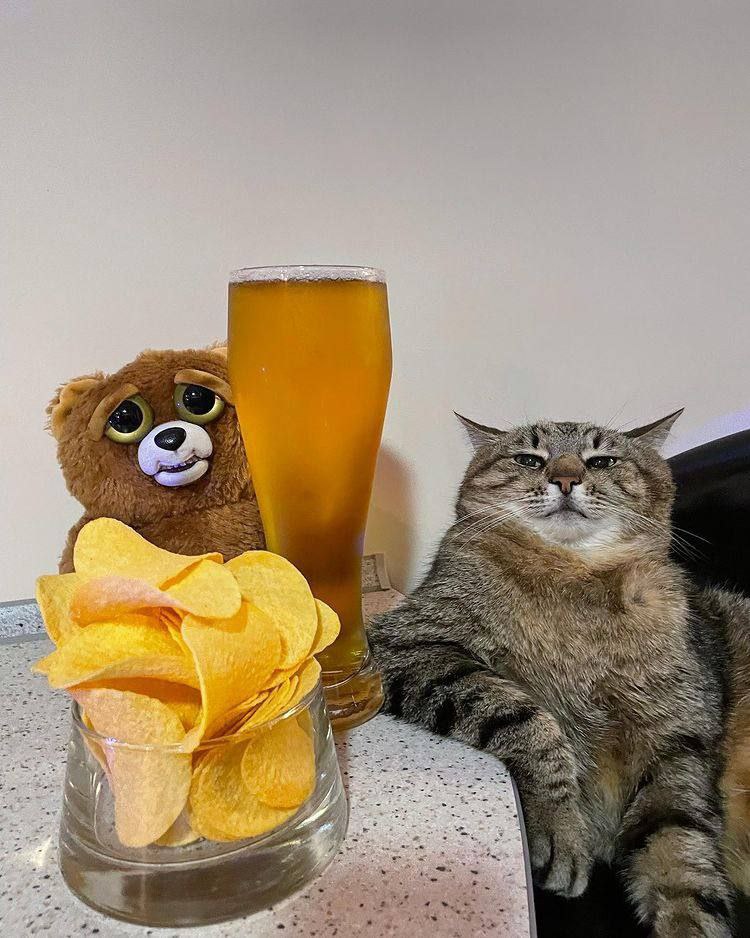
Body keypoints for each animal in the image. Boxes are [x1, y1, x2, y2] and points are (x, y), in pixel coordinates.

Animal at [368, 412, 750, 938]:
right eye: (529, 459)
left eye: (602, 460)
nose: (566, 479)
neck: (575, 577)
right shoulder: (406, 643)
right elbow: (528, 722)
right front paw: (559, 829)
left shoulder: (680, 744)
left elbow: (683, 862)